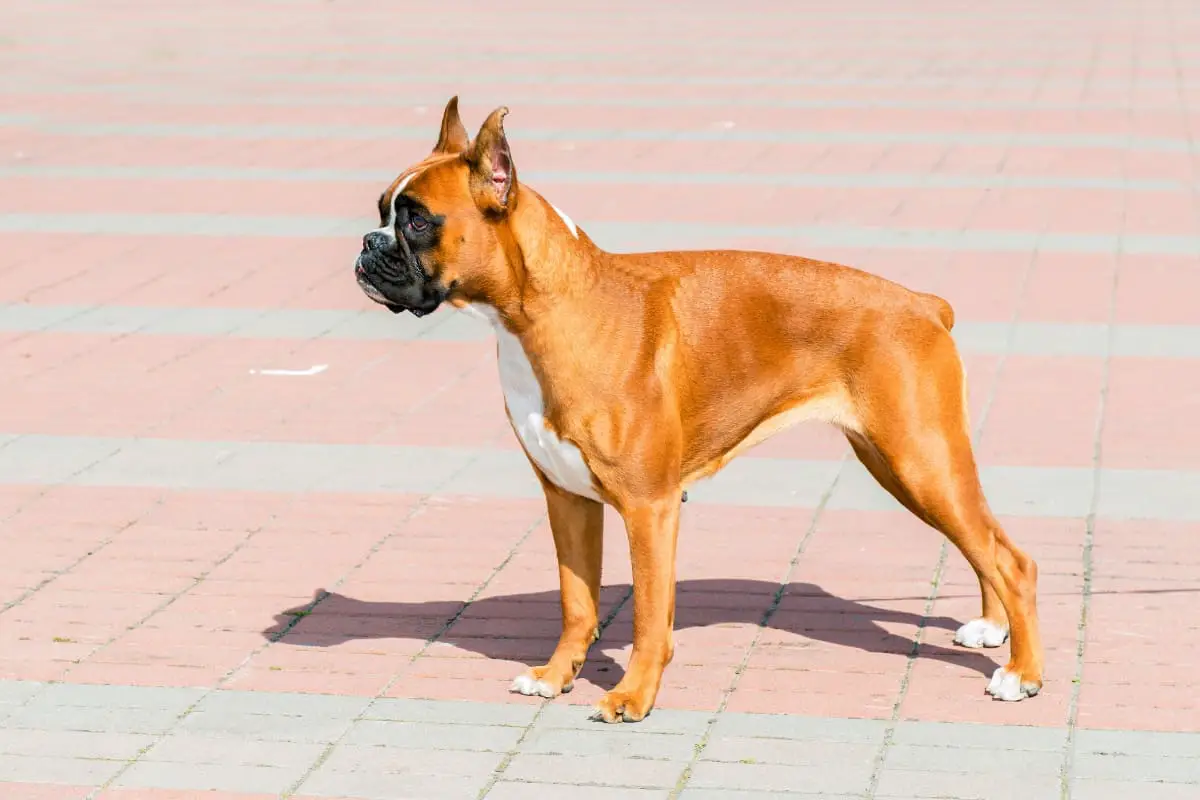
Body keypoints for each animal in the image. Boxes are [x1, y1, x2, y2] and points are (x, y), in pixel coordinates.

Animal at [352, 97, 1041, 724]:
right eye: (383, 210)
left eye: (417, 222)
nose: (367, 243)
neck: (545, 310)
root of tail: (924, 303)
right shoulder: (566, 499)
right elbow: (578, 603)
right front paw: (554, 676)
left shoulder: (649, 508)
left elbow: (650, 615)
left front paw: (632, 696)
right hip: (904, 466)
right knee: (984, 541)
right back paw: (991, 628)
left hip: (921, 461)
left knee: (1012, 560)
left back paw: (1022, 675)